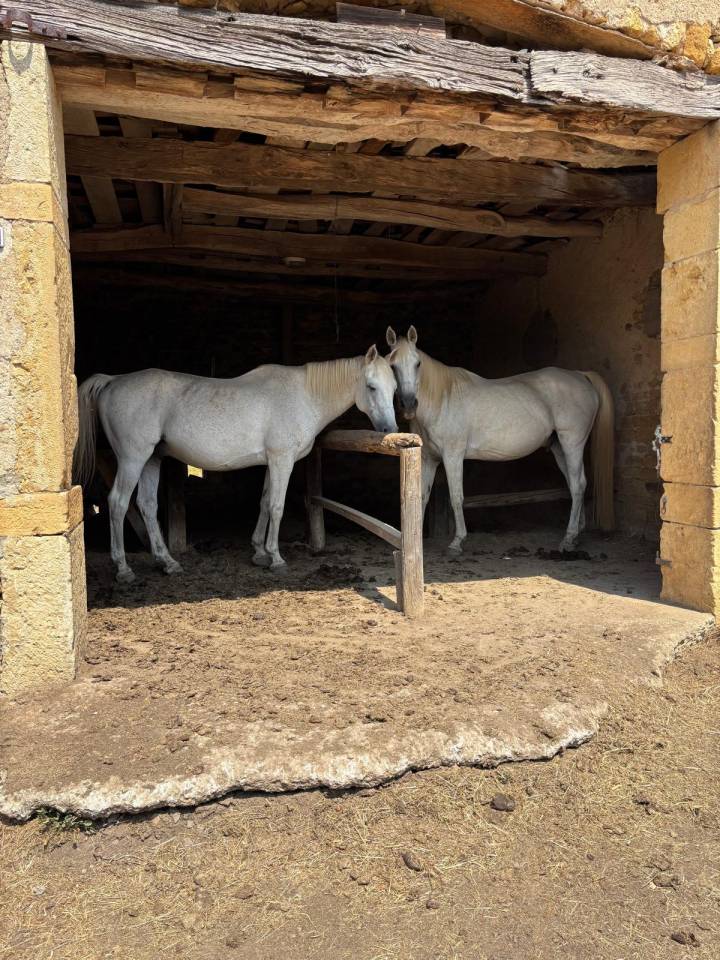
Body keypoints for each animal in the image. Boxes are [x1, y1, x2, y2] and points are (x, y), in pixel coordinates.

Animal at [74, 346, 398, 583]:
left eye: (394, 387)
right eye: (371, 387)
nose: (389, 430)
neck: (303, 395)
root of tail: (112, 380)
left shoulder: (271, 462)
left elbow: (265, 502)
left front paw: (259, 552)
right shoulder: (282, 460)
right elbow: (277, 506)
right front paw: (276, 558)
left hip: (152, 459)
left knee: (147, 505)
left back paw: (167, 562)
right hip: (133, 459)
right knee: (118, 503)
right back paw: (123, 569)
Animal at [385, 326, 614, 555]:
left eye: (417, 364)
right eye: (392, 366)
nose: (409, 404)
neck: (443, 399)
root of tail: (580, 375)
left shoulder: (452, 456)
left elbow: (456, 497)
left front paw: (457, 542)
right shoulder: (428, 459)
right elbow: (420, 497)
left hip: (572, 443)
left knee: (578, 484)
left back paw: (569, 538)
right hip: (559, 447)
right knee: (575, 483)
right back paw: (577, 534)